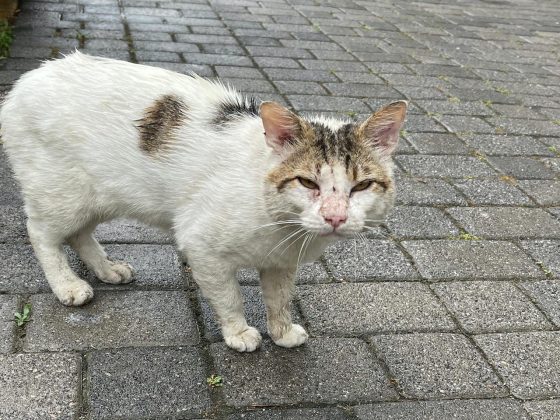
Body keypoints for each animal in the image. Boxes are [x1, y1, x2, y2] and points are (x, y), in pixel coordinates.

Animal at [2, 53, 410, 354]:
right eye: (307, 182)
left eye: (362, 185)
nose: (335, 217)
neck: (284, 229)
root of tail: (27, 79)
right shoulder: (202, 247)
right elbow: (229, 297)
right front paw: (239, 333)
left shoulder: (280, 262)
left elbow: (279, 298)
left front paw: (280, 332)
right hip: (62, 194)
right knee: (41, 232)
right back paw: (67, 286)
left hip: (97, 197)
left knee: (79, 234)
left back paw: (107, 269)